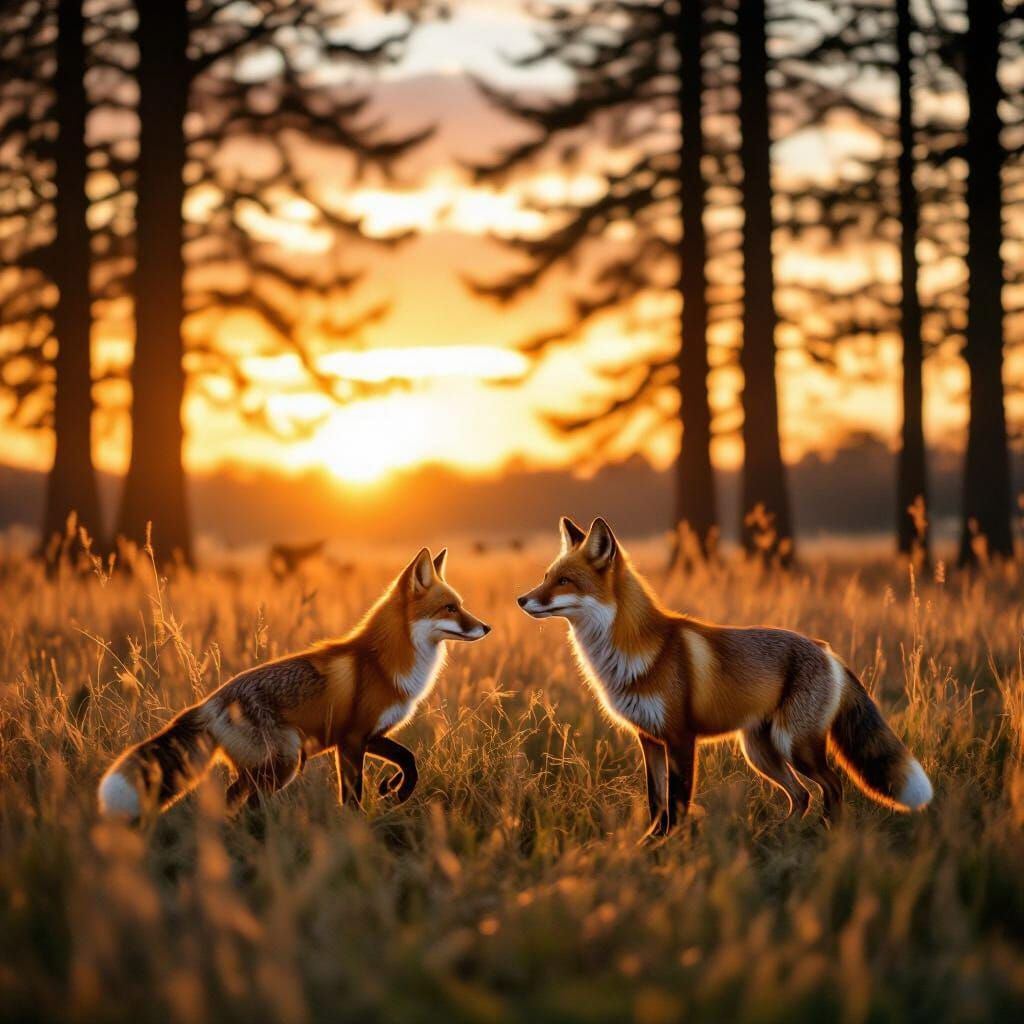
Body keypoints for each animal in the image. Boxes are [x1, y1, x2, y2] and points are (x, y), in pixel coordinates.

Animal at [98, 547, 490, 823]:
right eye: (450, 608)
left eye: (460, 606)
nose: (486, 627)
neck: (381, 662)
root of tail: (208, 703)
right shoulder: (351, 740)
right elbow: (352, 796)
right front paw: (357, 829)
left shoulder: (369, 733)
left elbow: (408, 759)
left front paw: (395, 789)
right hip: (286, 761)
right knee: (245, 801)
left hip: (271, 765)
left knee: (232, 797)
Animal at [518, 516, 933, 836]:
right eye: (546, 577)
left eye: (565, 581)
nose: (521, 599)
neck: (630, 653)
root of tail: (825, 648)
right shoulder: (647, 738)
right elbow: (656, 802)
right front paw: (648, 843)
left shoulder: (680, 737)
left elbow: (678, 802)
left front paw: (669, 847)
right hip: (760, 752)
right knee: (802, 794)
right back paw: (783, 832)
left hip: (794, 745)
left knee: (833, 785)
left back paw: (829, 833)